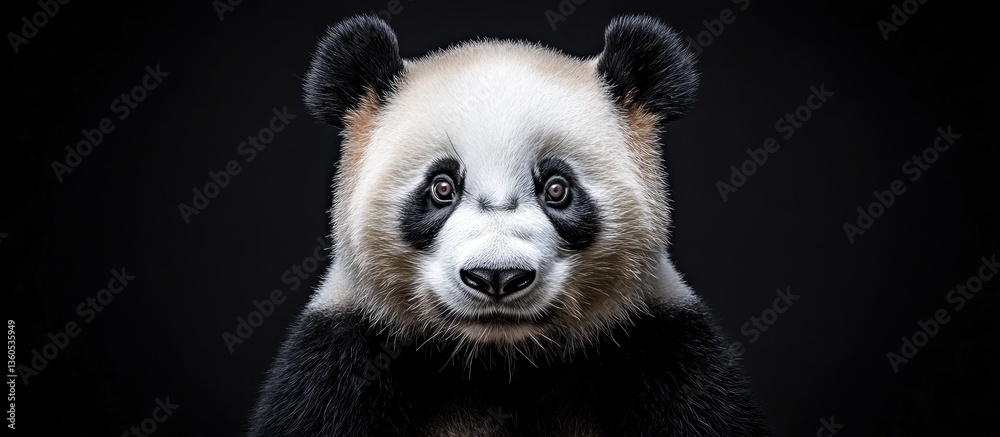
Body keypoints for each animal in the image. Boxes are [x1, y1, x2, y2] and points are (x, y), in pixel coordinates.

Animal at [249, 14, 770, 437]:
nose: (496, 277)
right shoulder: (342, 361)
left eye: (557, 189)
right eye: (442, 187)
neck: (502, 360)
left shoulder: (664, 349)